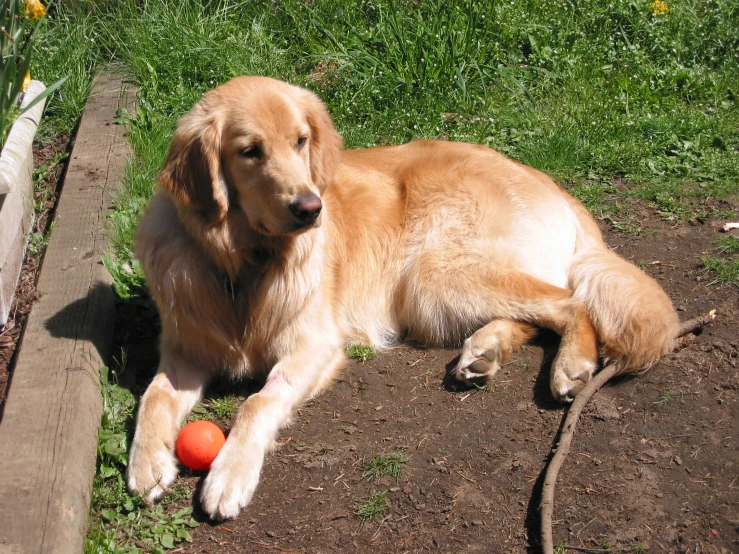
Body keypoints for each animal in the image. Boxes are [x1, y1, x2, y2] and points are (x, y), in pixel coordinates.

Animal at [125, 74, 676, 516]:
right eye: (249, 151)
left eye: (301, 141)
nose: (310, 207)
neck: (241, 266)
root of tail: (552, 183)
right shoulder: (186, 351)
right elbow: (153, 396)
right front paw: (147, 462)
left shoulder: (314, 346)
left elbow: (258, 403)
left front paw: (229, 474)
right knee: (537, 312)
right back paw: (485, 352)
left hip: (432, 276)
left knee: (570, 302)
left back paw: (571, 365)